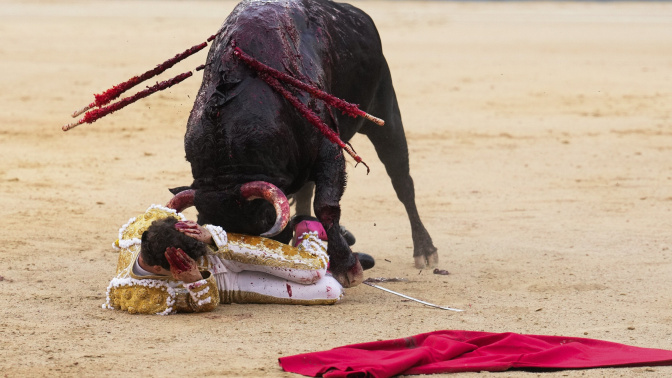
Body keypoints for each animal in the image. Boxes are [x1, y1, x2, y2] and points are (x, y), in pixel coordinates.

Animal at [176, 0, 436, 284]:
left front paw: (348, 268)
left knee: (402, 182)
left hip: (385, 113)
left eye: (262, 226)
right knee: (306, 191)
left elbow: (326, 206)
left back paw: (425, 250)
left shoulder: (329, 150)